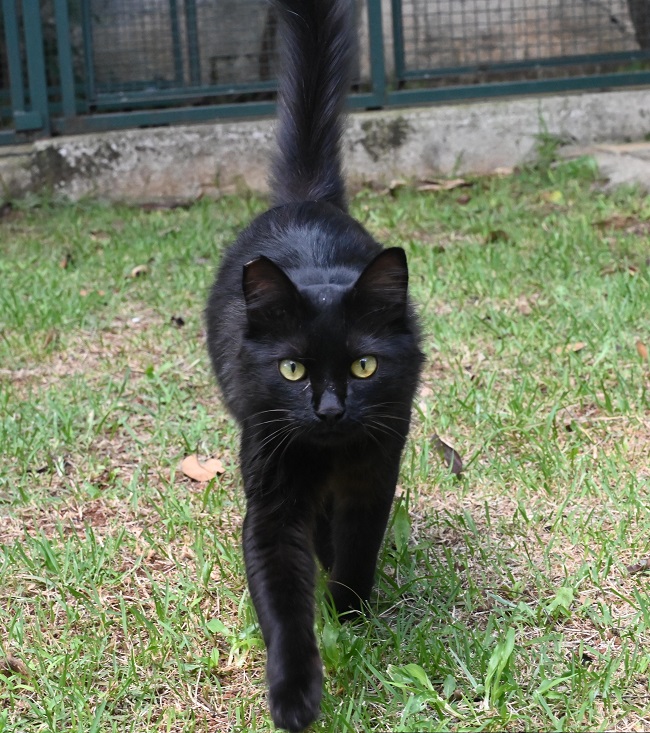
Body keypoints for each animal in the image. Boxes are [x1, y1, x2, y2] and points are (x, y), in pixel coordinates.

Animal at [205, 2, 422, 728]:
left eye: (363, 366)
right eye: (294, 371)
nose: (329, 411)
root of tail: (308, 200)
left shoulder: (373, 473)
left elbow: (355, 549)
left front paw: (348, 612)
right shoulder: (271, 502)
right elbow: (282, 606)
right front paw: (295, 696)